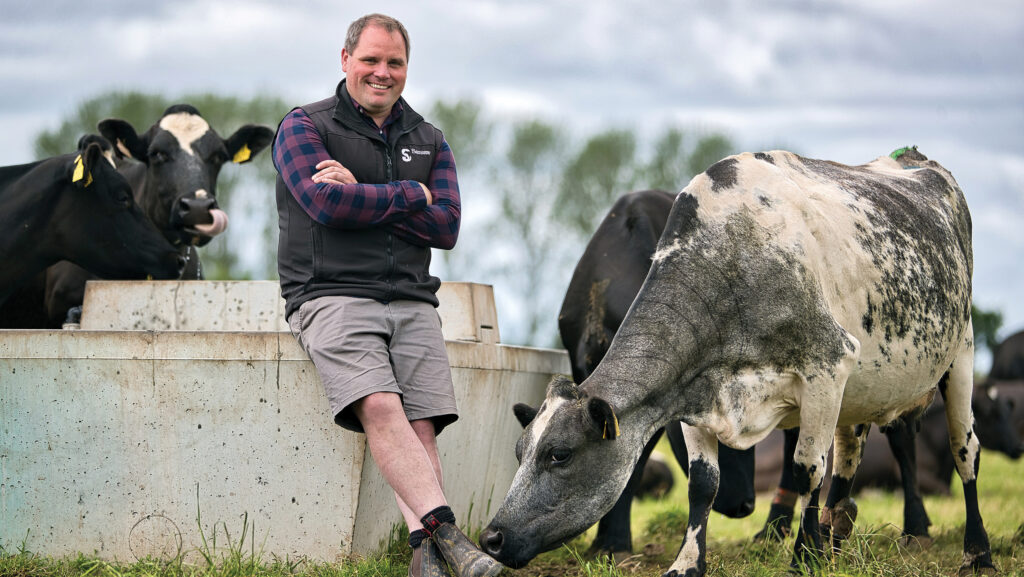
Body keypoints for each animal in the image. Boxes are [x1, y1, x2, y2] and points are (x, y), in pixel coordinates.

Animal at [479, 148, 991, 577]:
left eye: (559, 454)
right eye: (519, 451)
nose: (492, 537)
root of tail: (914, 159)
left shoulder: (827, 367)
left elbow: (807, 468)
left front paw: (803, 558)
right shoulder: (693, 391)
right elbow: (703, 484)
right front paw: (687, 563)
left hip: (959, 352)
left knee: (963, 451)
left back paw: (974, 549)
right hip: (866, 387)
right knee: (850, 455)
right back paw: (836, 536)